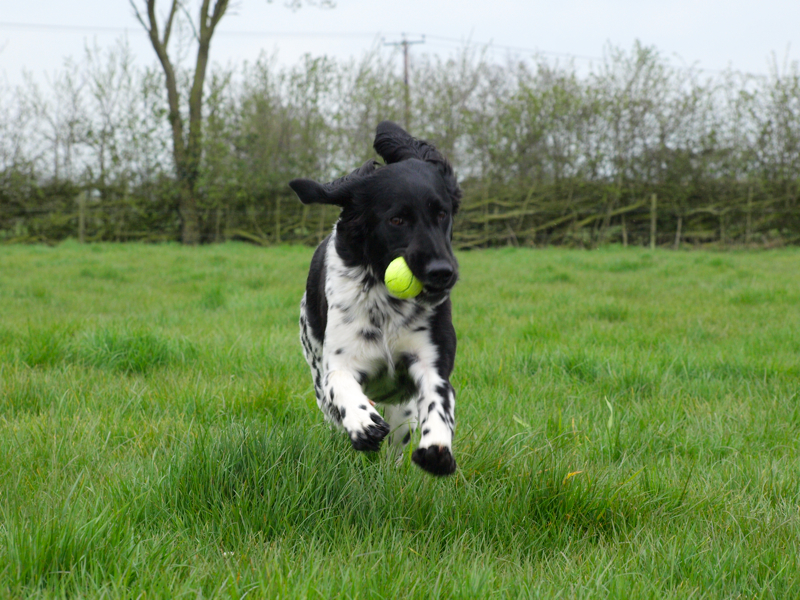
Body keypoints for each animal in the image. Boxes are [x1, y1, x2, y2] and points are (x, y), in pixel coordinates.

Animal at [290, 123, 460, 478]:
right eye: (397, 220)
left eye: (442, 214)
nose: (442, 272)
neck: (386, 301)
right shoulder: (339, 363)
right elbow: (341, 385)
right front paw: (362, 422)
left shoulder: (430, 361)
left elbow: (439, 397)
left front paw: (436, 448)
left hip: (402, 410)